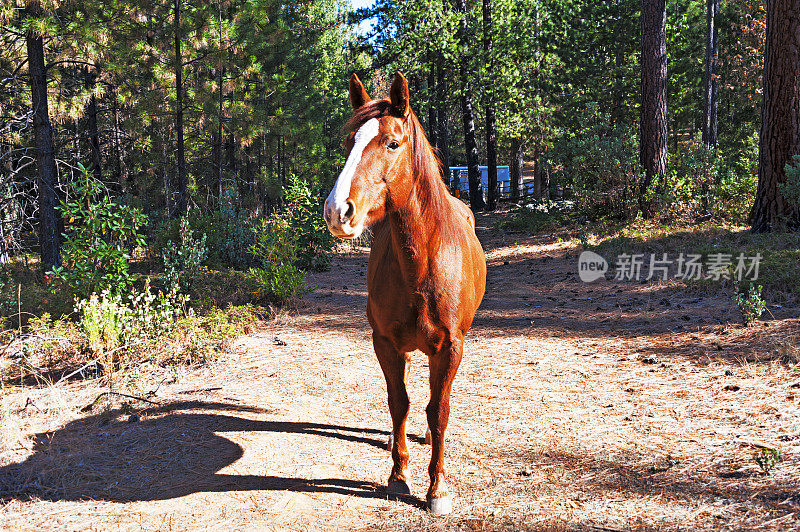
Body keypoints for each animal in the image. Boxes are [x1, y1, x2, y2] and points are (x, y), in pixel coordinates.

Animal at [320, 71, 484, 516]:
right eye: (349, 142)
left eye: (392, 143)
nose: (338, 210)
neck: (423, 264)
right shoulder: (385, 342)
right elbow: (400, 402)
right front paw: (398, 476)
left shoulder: (451, 346)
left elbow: (438, 411)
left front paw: (438, 488)